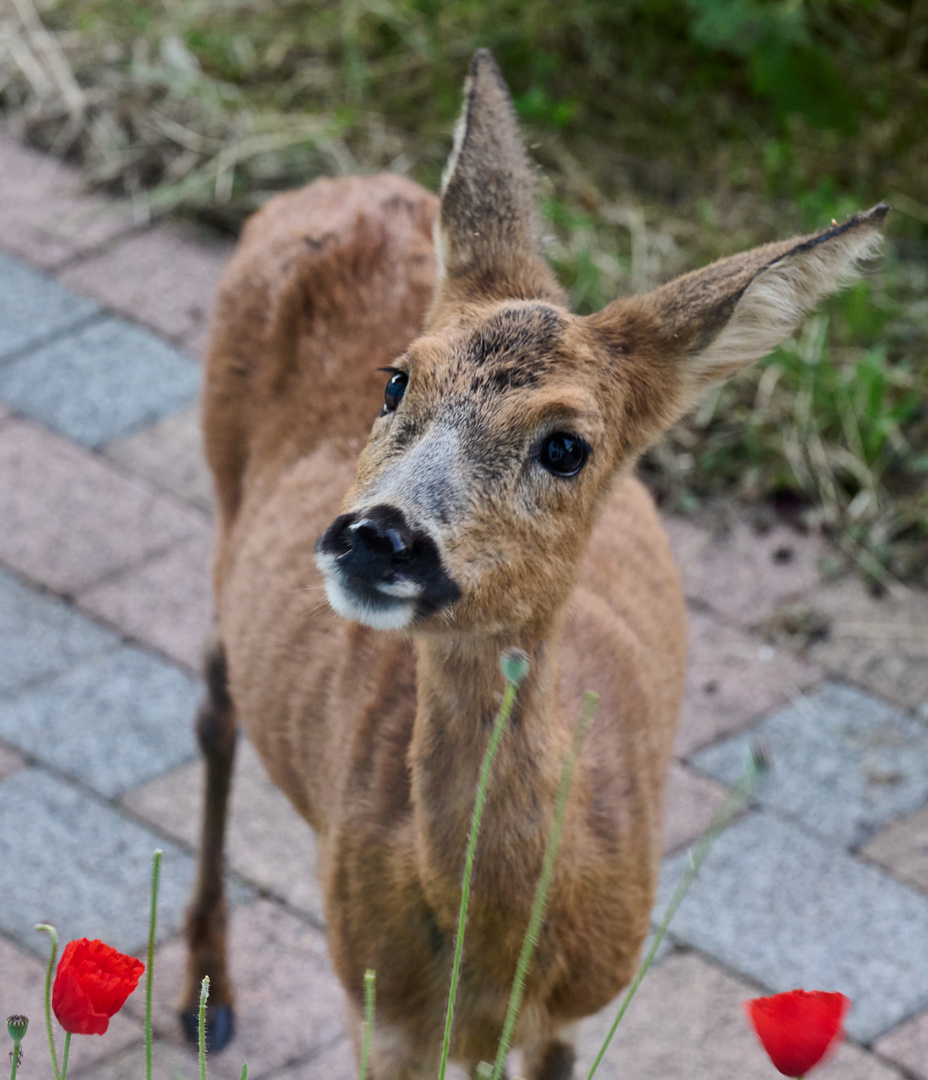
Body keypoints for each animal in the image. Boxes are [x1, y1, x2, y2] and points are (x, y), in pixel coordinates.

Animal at [181, 46, 885, 1075]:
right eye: (396, 380)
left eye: (566, 447)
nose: (379, 533)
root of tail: (333, 184)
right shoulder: (375, 1005)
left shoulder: (576, 1010)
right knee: (213, 696)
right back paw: (206, 998)